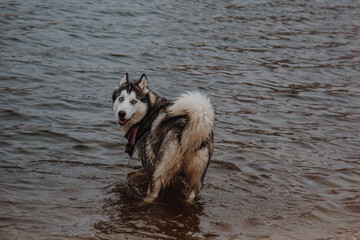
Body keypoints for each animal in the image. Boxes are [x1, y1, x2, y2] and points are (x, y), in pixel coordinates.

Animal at [112, 73, 214, 202]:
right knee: (191, 197)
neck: (148, 113)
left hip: (160, 173)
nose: (121, 113)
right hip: (196, 180)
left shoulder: (150, 165)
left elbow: (132, 173)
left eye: (133, 101)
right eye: (121, 99)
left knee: (152, 195)